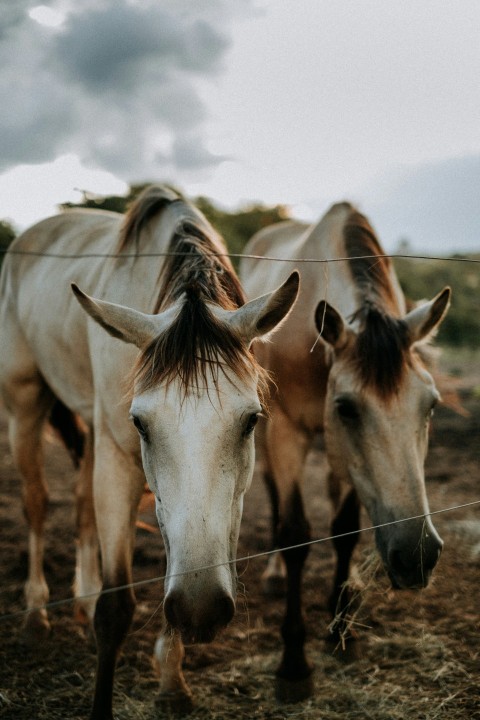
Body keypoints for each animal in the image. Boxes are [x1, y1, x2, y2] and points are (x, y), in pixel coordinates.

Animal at [0, 187, 298, 720]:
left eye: (251, 420)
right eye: (140, 422)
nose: (201, 610)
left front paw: (171, 679)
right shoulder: (120, 462)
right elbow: (116, 610)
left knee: (80, 504)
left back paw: (79, 602)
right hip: (25, 406)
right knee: (36, 502)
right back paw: (36, 615)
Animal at [242, 201, 452, 696]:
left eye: (431, 405)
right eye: (347, 408)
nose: (417, 555)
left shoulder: (351, 462)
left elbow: (345, 530)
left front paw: (342, 628)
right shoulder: (287, 432)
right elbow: (294, 534)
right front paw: (294, 663)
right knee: (274, 495)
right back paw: (275, 574)